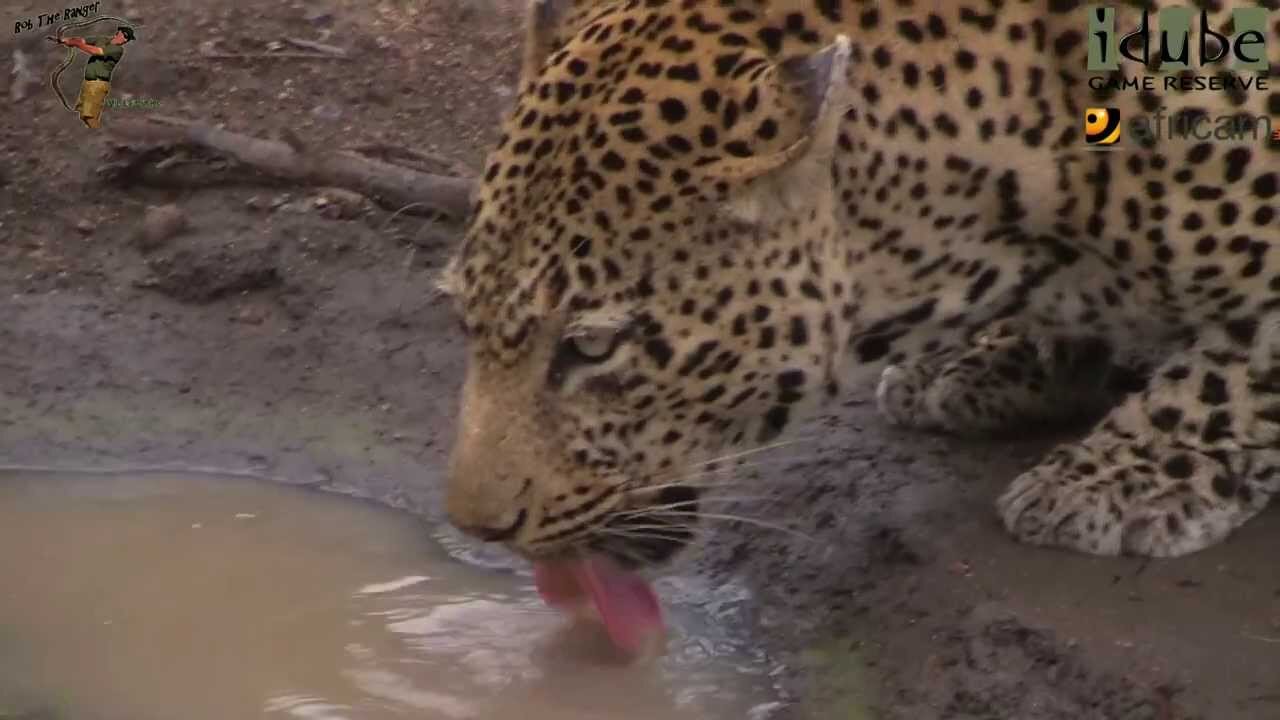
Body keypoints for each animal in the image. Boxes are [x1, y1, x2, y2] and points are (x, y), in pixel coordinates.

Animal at [440, 0, 1280, 571]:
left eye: (591, 349)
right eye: (465, 320)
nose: (478, 529)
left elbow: (1241, 364)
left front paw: (1129, 475)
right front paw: (997, 359)